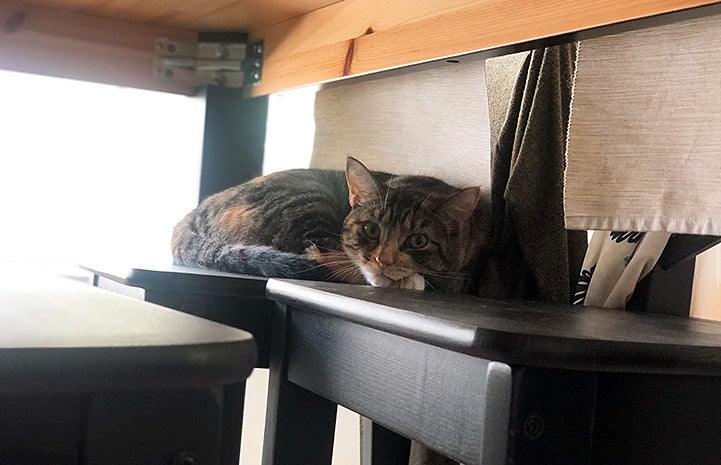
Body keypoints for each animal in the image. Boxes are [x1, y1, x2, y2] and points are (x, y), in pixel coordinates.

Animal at [173, 158, 490, 292]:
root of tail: (194, 213)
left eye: (418, 241)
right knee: (323, 261)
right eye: (371, 229)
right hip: (306, 201)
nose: (382, 261)